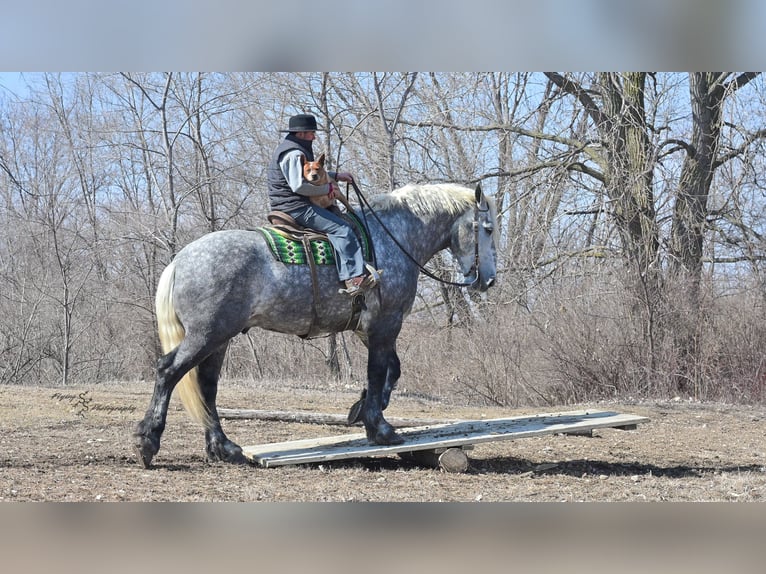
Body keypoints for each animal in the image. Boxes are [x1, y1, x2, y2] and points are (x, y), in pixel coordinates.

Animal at [134, 182, 497, 467]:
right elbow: (379, 371)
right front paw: (380, 428)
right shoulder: (385, 324)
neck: (393, 238)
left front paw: (362, 409)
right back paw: (148, 442)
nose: (489, 281)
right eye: (488, 229)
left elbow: (392, 370)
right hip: (206, 335)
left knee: (207, 386)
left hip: (220, 338)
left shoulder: (369, 329)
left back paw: (224, 448)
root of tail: (180, 261)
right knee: (168, 371)